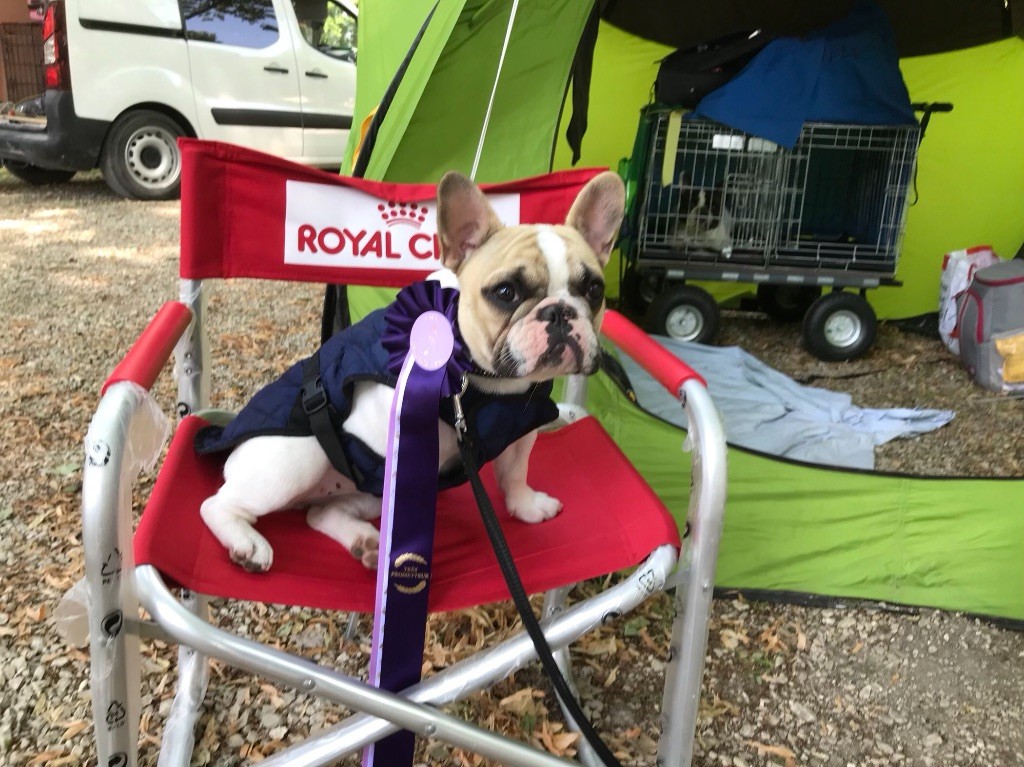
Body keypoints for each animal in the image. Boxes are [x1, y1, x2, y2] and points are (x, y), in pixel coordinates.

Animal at [196, 170, 626, 572]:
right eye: (506, 293)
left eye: (593, 290)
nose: (560, 312)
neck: (489, 382)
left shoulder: (522, 430)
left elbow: (515, 473)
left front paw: (526, 506)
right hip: (300, 456)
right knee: (215, 504)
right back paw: (248, 543)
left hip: (360, 492)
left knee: (320, 513)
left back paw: (363, 541)